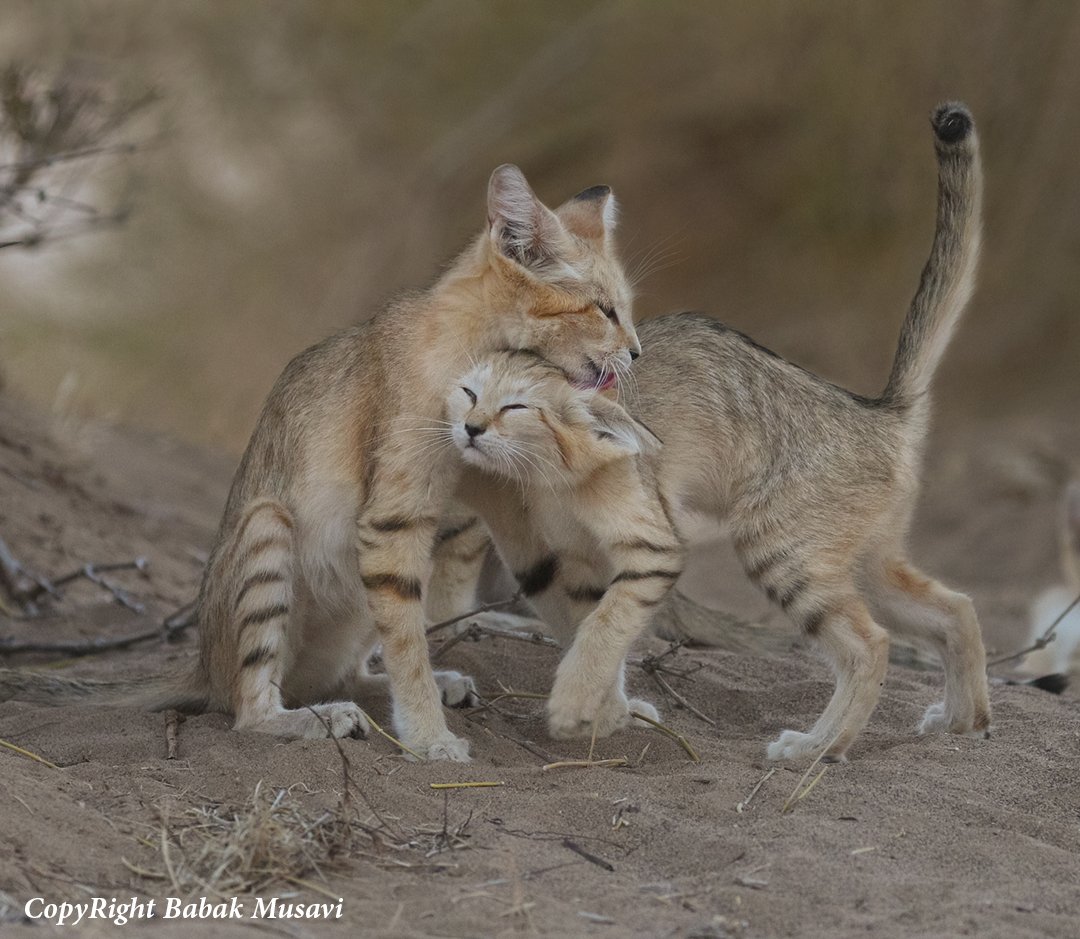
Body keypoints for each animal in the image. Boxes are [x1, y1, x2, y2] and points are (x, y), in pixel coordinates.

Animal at [0, 166, 639, 760]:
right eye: (603, 309)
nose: (635, 352)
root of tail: (200, 664)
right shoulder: (392, 519)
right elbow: (409, 648)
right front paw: (431, 741)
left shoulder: (466, 503)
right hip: (269, 526)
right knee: (249, 707)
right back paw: (317, 720)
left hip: (356, 595)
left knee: (347, 672)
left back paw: (418, 686)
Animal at [436, 104, 989, 760]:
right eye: (604, 309)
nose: (633, 351)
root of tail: (880, 410)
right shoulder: (557, 562)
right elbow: (590, 631)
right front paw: (606, 711)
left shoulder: (643, 545)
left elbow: (605, 629)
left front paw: (577, 705)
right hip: (864, 564)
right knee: (955, 608)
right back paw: (965, 721)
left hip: (784, 553)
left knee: (870, 646)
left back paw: (816, 747)